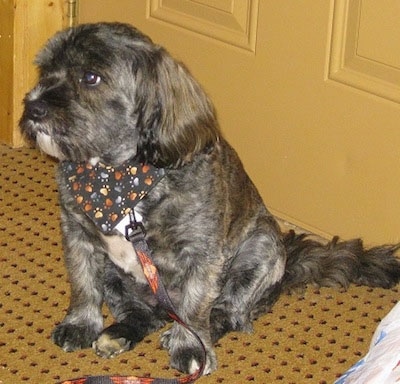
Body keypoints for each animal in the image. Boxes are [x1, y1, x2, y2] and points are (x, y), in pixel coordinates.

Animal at [19, 22, 400, 376]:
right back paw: (120, 333)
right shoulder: (78, 235)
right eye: (44, 70)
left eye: (90, 77)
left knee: (226, 314)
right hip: (119, 278)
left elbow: (195, 308)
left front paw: (191, 346)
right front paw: (80, 324)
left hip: (259, 249)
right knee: (142, 313)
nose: (34, 107)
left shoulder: (201, 257)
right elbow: (83, 283)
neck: (117, 179)